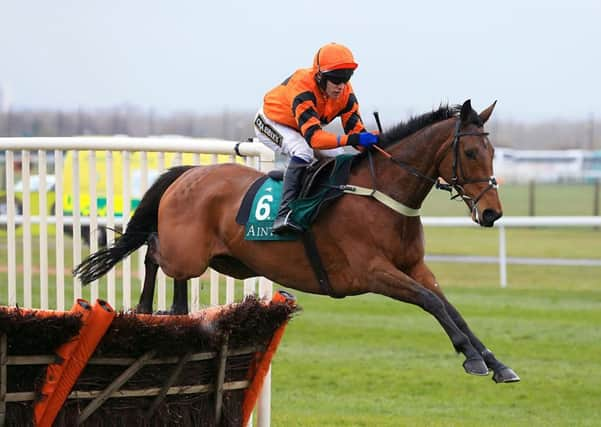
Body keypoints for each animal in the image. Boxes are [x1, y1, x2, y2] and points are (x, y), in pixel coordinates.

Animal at [74, 101, 516, 384]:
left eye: (494, 150)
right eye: (471, 152)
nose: (491, 213)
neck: (379, 194)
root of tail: (188, 173)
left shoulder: (415, 267)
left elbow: (449, 307)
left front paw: (495, 363)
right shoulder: (373, 272)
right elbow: (431, 303)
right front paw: (472, 357)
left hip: (223, 260)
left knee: (168, 268)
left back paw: (171, 311)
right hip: (188, 253)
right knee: (152, 247)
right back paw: (145, 306)